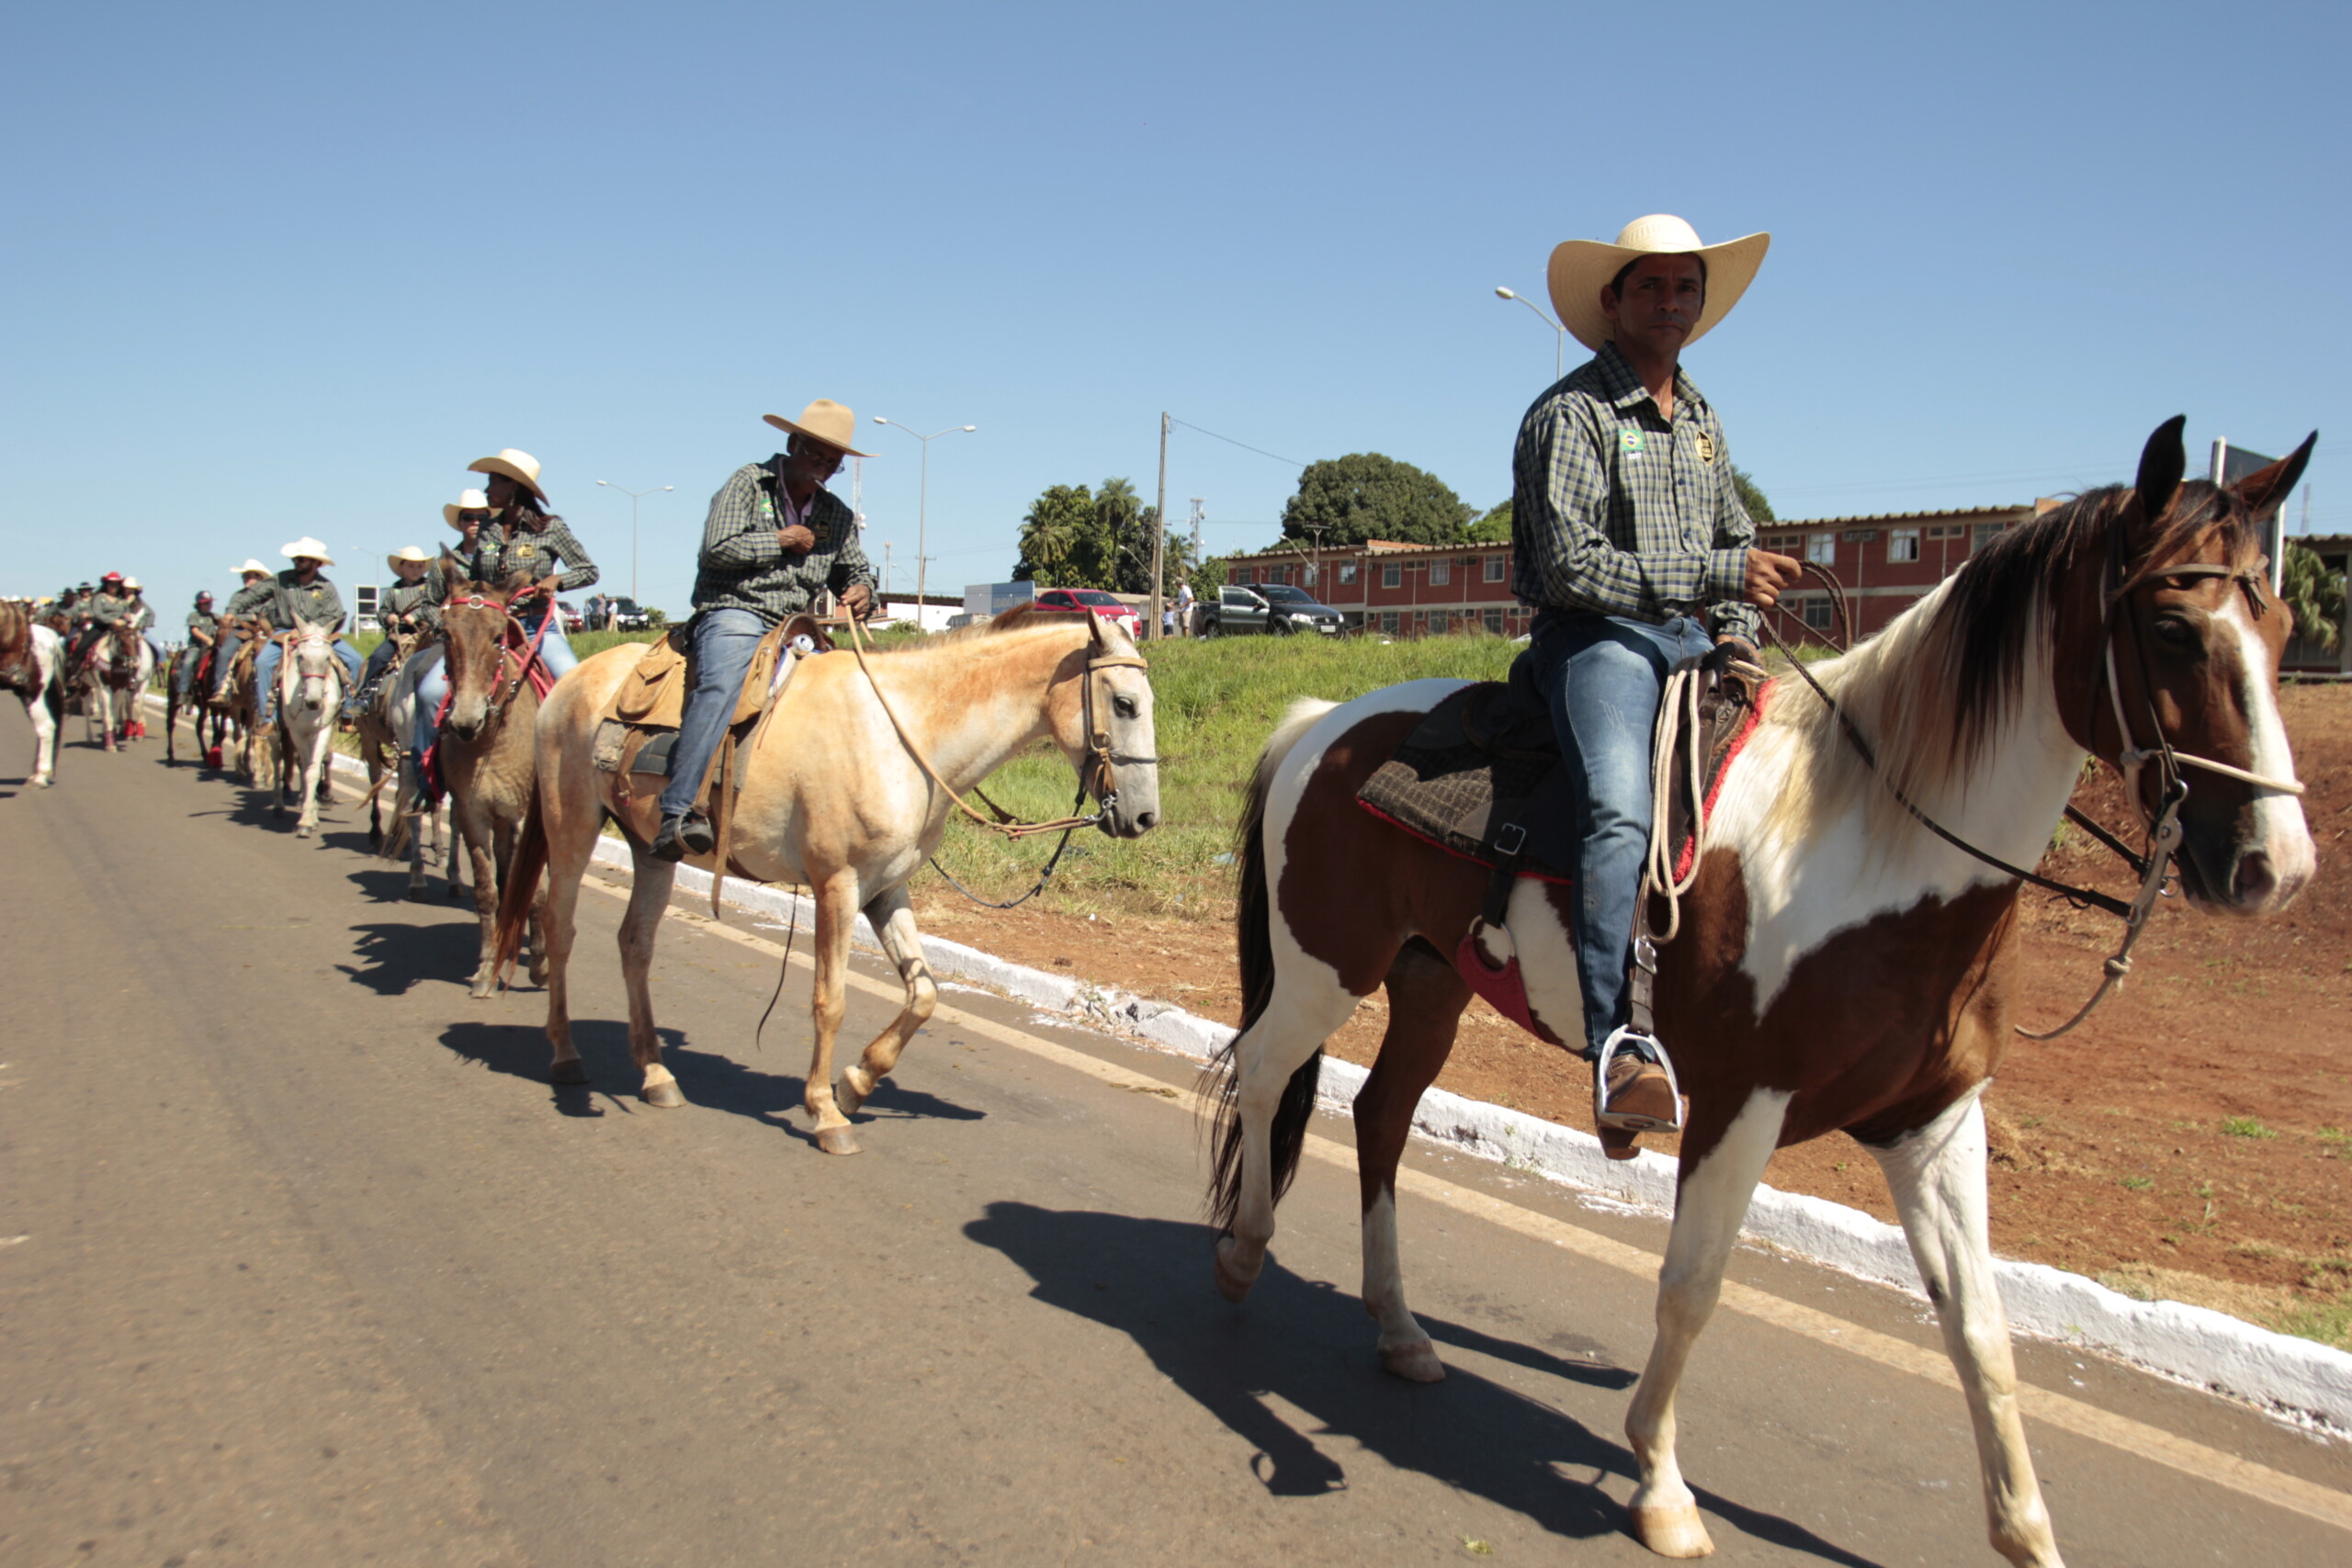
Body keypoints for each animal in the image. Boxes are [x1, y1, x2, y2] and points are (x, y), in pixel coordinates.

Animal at [269, 620, 343, 831]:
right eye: (300, 656)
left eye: (328, 657)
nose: (314, 701)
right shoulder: (297, 731)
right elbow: (304, 766)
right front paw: (305, 817)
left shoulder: (324, 729)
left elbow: (313, 769)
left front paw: (310, 815)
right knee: (277, 758)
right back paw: (279, 804)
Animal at [435, 573, 548, 991]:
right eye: (445, 633)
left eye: (499, 636)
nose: (465, 722)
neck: (491, 742)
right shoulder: (473, 815)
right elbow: (487, 889)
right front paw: (486, 968)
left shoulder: (524, 818)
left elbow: (534, 891)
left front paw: (540, 965)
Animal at [493, 602, 1157, 1152]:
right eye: (1124, 703)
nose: (1146, 817)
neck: (905, 735)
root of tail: (568, 685)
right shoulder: (835, 886)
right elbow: (828, 1000)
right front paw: (824, 1111)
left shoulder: (886, 888)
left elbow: (924, 994)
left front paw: (855, 1084)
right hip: (572, 826)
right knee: (558, 926)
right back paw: (565, 1055)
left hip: (652, 850)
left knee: (635, 943)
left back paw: (656, 1073)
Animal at [1213, 421, 2314, 1568]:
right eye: (2174, 628)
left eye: (2278, 623)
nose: (2274, 868)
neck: (1876, 841)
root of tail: (1320, 724)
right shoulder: (1738, 1101)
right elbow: (1693, 1286)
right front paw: (1660, 1486)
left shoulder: (1930, 1119)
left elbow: (1980, 1329)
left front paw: (2027, 1534)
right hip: (1324, 971)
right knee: (1265, 1069)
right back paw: (1243, 1255)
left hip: (1430, 985)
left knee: (1381, 1117)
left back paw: (1398, 1328)